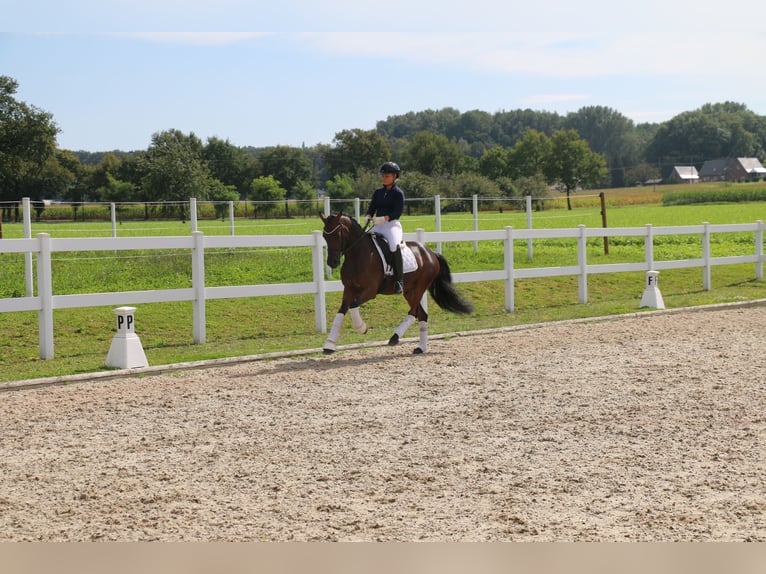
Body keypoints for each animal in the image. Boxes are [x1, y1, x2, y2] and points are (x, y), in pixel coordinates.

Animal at [320, 212, 474, 356]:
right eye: (324, 236)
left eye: (338, 235)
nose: (332, 262)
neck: (358, 255)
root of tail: (431, 253)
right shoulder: (349, 290)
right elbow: (341, 311)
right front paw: (329, 345)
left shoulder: (370, 291)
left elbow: (352, 306)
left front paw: (362, 328)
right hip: (409, 291)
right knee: (422, 315)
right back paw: (420, 348)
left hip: (419, 288)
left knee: (413, 312)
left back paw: (394, 338)